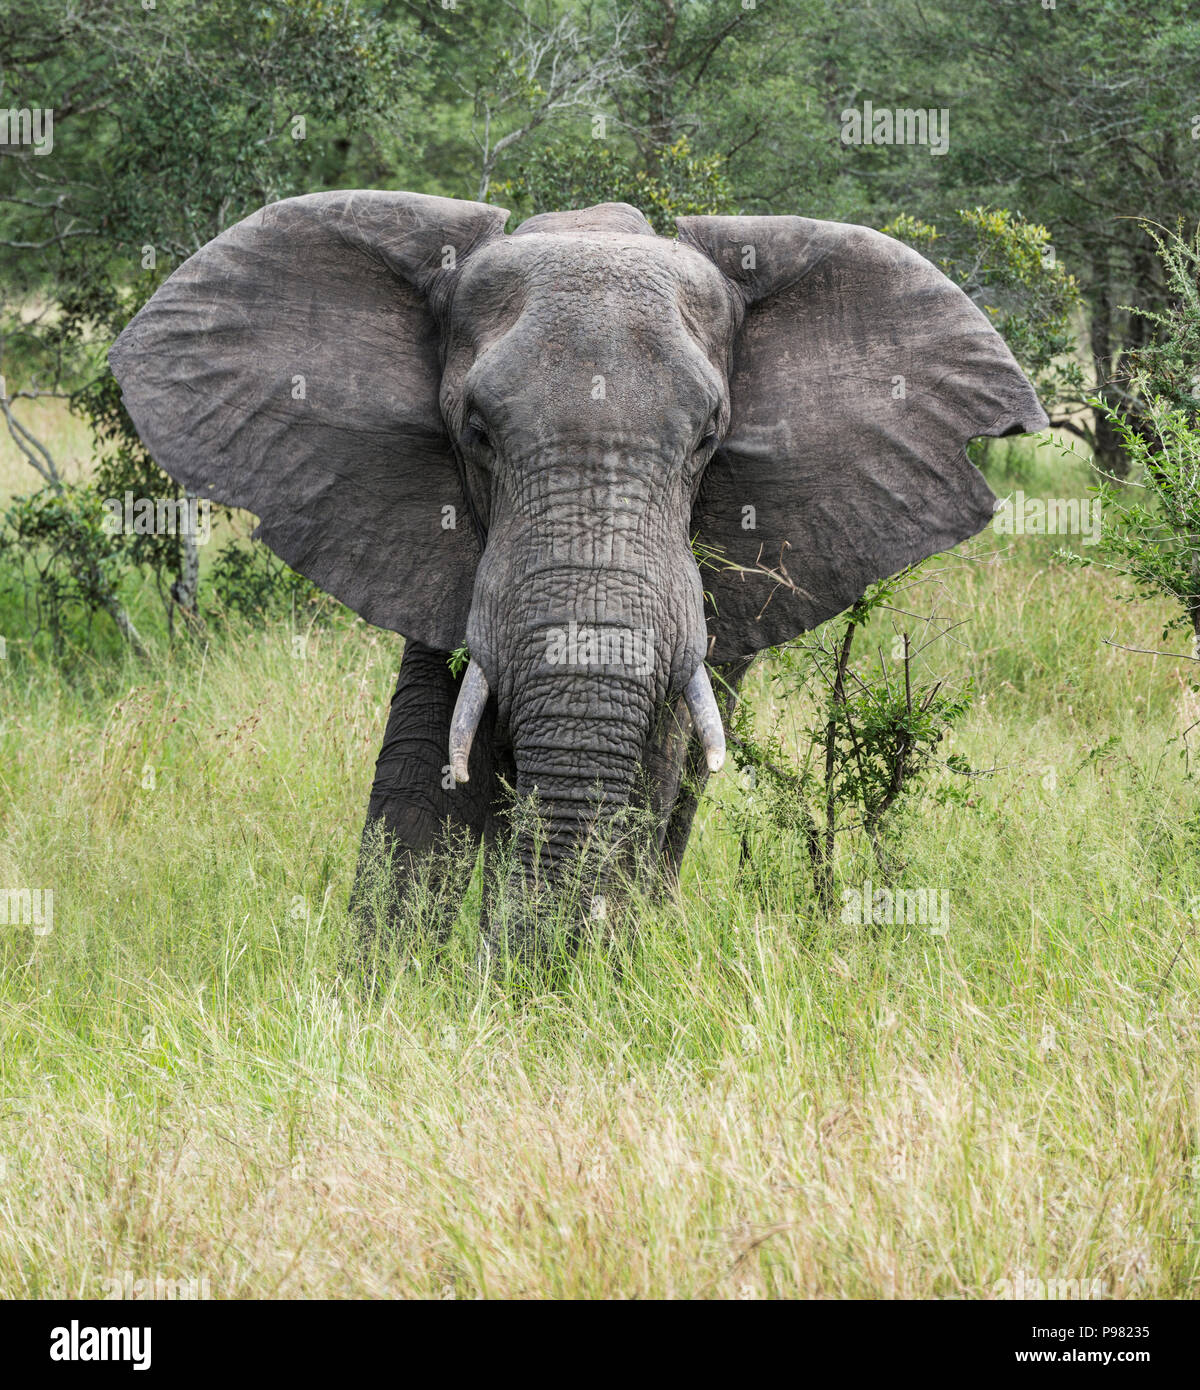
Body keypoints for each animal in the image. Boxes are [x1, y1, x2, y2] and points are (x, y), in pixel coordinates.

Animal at [112, 193, 1051, 956]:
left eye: (709, 437)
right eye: (476, 432)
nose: (502, 962)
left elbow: (647, 766)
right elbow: (425, 766)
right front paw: (385, 991)